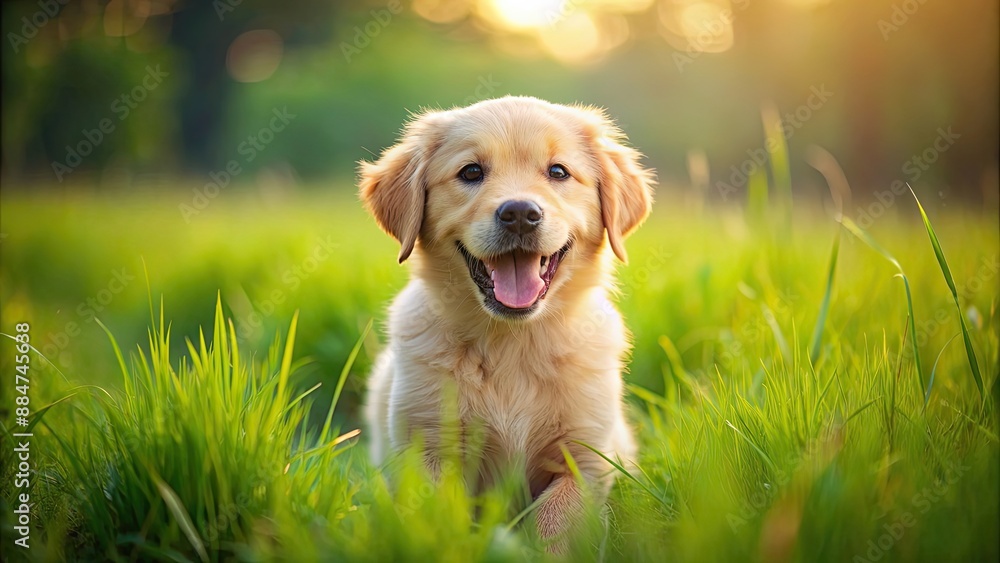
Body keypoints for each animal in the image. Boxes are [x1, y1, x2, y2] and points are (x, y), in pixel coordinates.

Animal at [362, 96, 656, 548]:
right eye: (471, 172)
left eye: (558, 172)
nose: (519, 213)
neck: (511, 340)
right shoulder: (426, 448)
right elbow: (440, 522)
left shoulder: (585, 458)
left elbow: (555, 521)